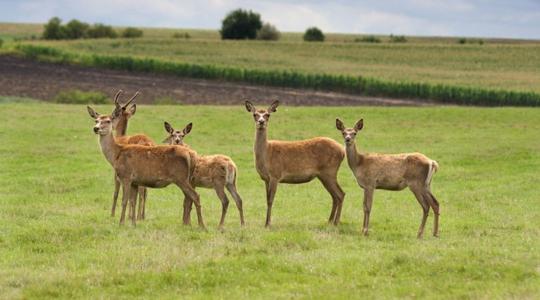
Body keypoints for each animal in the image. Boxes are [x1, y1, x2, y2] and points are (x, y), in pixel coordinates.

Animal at [108, 89, 154, 220]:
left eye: (114, 114)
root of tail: (147, 142)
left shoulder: (117, 173)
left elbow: (117, 193)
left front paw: (112, 214)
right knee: (145, 191)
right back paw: (142, 216)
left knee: (142, 191)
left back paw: (137, 216)